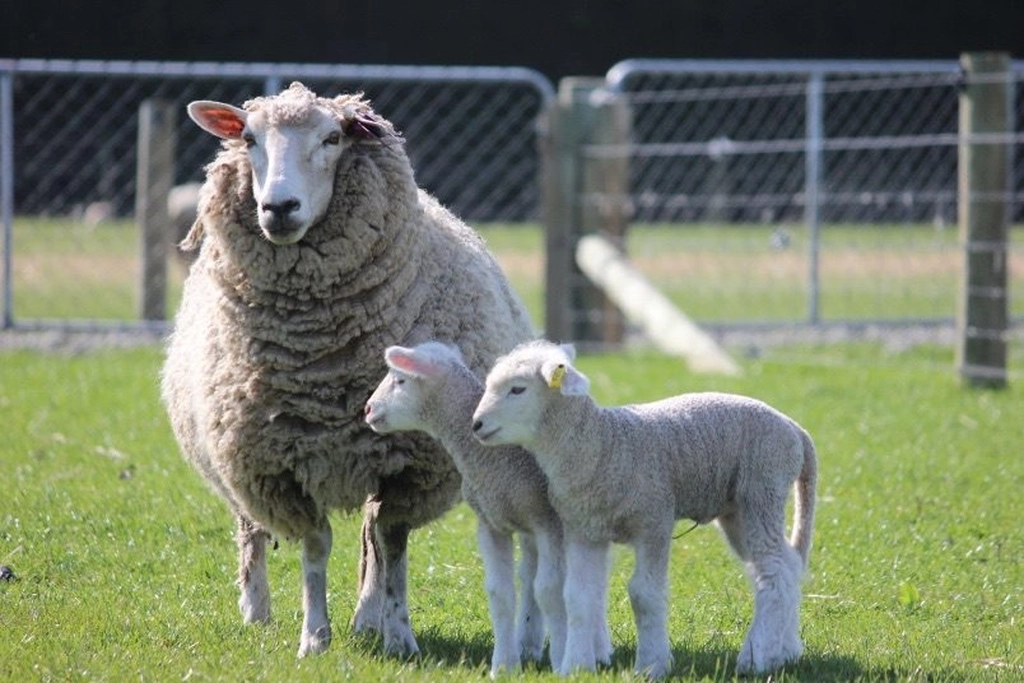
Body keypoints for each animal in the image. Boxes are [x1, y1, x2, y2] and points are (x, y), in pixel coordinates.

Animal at [161, 82, 534, 659]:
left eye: (332, 138)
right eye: (249, 139)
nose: (278, 207)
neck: (323, 363)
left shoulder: (411, 464)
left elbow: (390, 542)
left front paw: (399, 635)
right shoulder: (275, 466)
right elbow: (316, 546)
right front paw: (314, 637)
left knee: (369, 538)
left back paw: (366, 618)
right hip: (233, 459)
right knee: (250, 529)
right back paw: (256, 611)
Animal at [363, 342, 613, 675]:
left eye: (400, 380)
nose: (368, 410)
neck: (492, 461)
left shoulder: (549, 523)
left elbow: (550, 590)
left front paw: (561, 657)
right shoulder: (491, 522)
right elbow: (501, 594)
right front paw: (504, 664)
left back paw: (596, 649)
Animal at [471, 340, 817, 677]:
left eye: (518, 389)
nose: (476, 424)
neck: (603, 446)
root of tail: (794, 427)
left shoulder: (654, 521)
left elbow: (644, 595)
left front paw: (651, 665)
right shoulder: (585, 530)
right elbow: (578, 597)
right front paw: (576, 667)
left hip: (763, 489)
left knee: (775, 573)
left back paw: (759, 659)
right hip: (739, 511)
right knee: (784, 566)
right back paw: (784, 650)